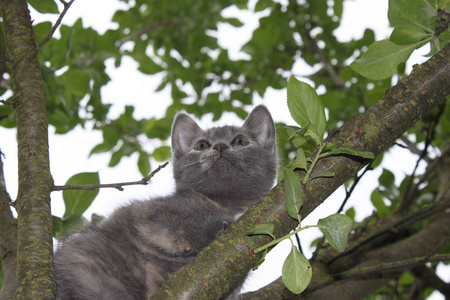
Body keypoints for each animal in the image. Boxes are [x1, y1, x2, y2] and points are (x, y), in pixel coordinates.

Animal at [54, 105, 276, 298]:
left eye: (240, 142)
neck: (226, 202)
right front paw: (218, 225)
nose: (219, 146)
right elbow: (173, 222)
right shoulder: (144, 212)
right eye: (202, 145)